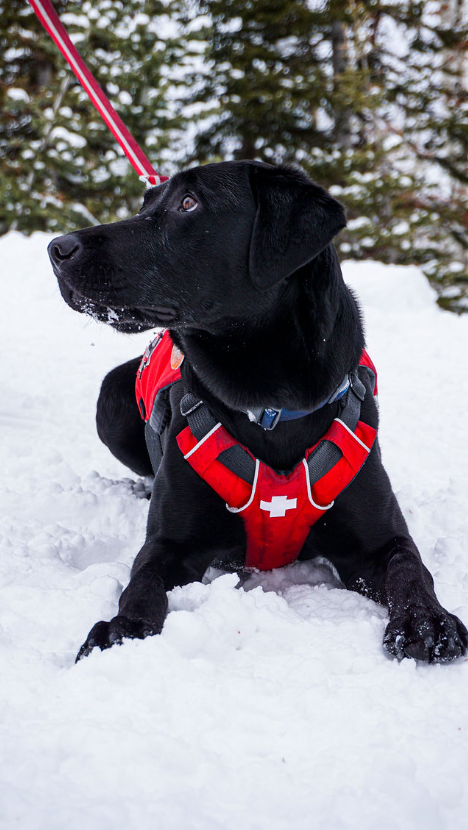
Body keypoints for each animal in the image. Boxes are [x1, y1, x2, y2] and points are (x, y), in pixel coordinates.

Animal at [48, 162, 468, 668]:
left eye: (188, 203)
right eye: (146, 202)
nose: (57, 248)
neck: (269, 405)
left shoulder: (379, 541)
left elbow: (411, 567)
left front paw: (427, 622)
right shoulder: (169, 544)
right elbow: (142, 581)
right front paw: (123, 629)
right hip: (110, 398)